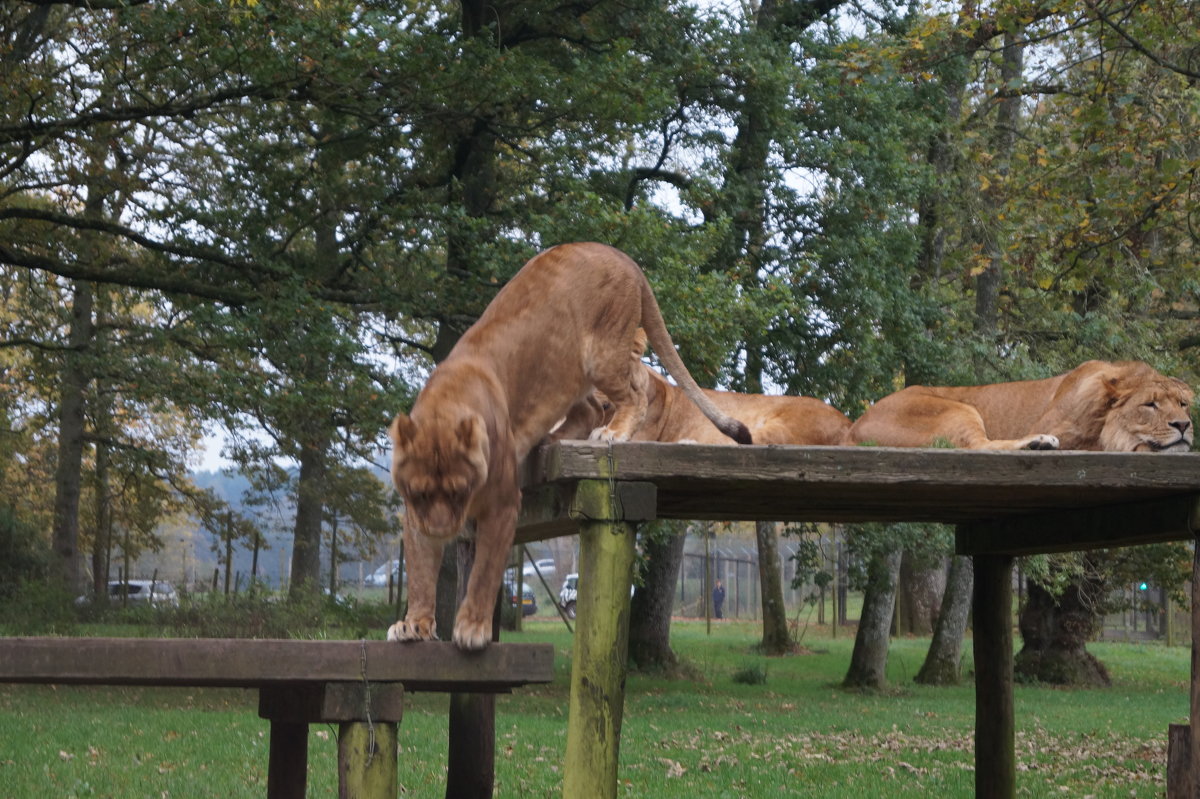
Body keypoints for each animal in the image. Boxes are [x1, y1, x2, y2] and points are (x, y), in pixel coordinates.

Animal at [386, 241, 748, 647]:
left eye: (459, 491)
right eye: (421, 493)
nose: (441, 531)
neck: (446, 405)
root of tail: (624, 258)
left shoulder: (503, 505)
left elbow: (484, 573)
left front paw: (472, 629)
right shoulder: (415, 514)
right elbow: (420, 573)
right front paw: (414, 625)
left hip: (602, 353)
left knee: (636, 392)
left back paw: (611, 433)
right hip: (573, 372)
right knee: (594, 405)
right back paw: (554, 439)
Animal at [849, 357, 1195, 451]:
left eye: (1183, 404)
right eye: (1150, 405)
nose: (1183, 425)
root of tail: (854, 426)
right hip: (958, 408)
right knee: (978, 446)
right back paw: (1038, 443)